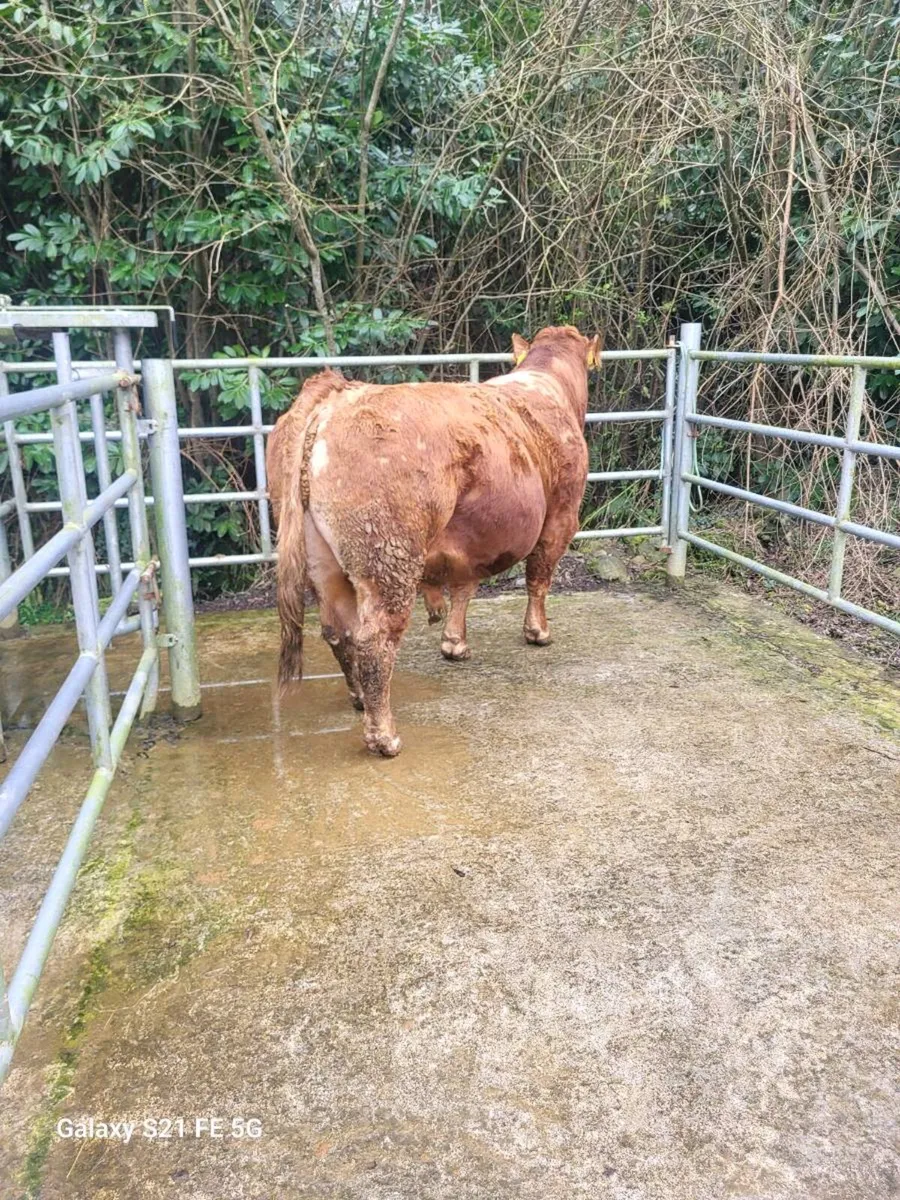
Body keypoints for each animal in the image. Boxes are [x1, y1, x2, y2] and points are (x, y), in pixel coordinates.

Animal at [267, 325, 600, 757]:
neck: (548, 383)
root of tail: (336, 397)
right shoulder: (562, 516)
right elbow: (539, 579)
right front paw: (538, 632)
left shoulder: (472, 539)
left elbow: (464, 586)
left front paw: (455, 644)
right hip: (389, 557)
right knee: (374, 639)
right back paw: (384, 737)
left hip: (322, 561)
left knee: (337, 631)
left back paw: (358, 699)